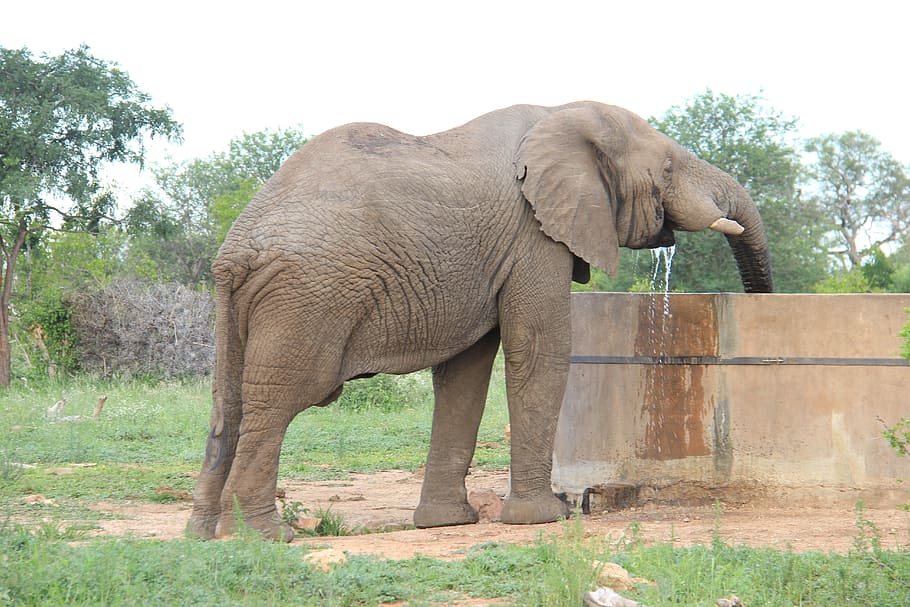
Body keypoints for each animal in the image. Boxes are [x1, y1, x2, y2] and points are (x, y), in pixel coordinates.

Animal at [190, 101, 773, 541]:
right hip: (307, 298)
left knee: (229, 404)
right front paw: (546, 517)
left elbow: (465, 372)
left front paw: (446, 523)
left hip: (243, 304)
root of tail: (236, 248)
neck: (559, 116)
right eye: (669, 168)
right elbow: (538, 350)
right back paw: (266, 537)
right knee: (280, 401)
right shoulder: (533, 235)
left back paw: (205, 534)